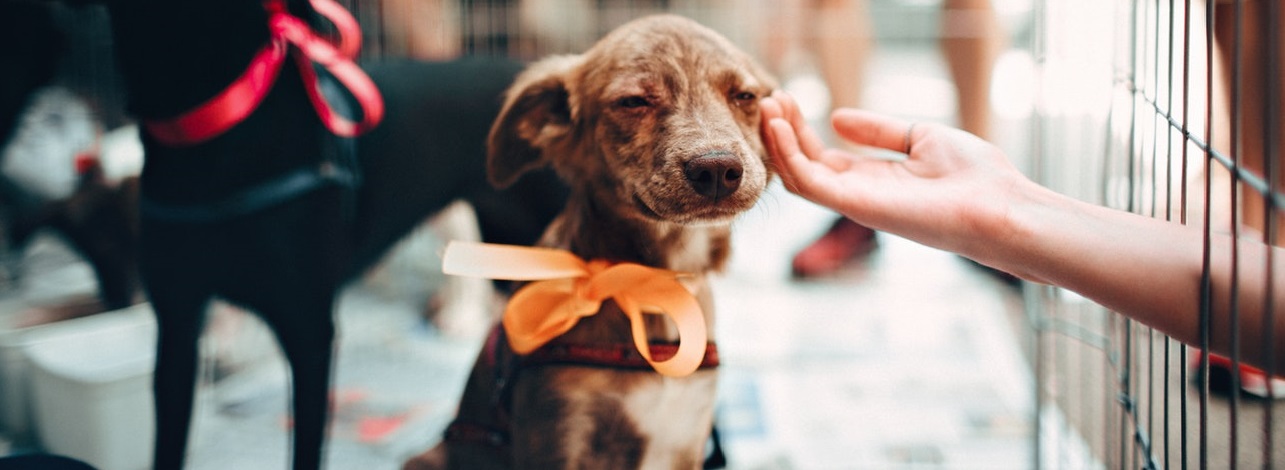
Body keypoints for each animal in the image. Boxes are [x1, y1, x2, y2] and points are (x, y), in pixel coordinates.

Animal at [406, 12, 776, 470]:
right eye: (633, 102)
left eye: (744, 96)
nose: (717, 170)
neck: (651, 285)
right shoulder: (559, 432)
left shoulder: (686, 439)